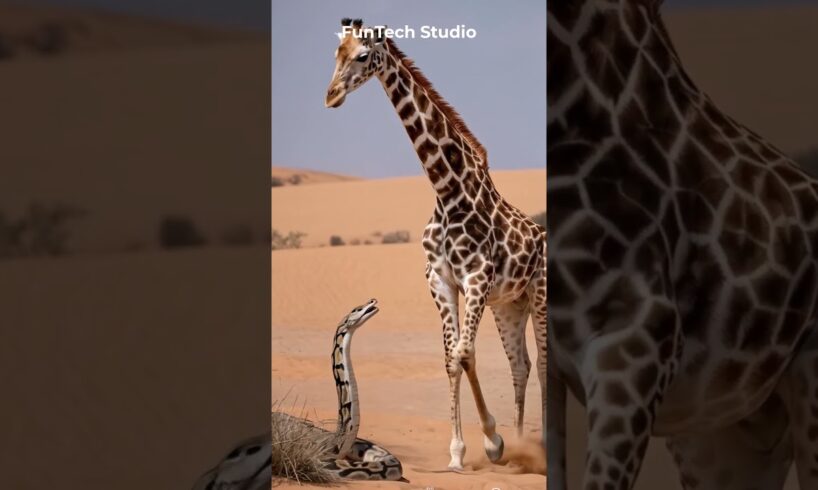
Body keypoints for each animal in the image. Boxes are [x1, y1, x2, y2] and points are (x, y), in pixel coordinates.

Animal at [325, 18, 547, 470]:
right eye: (336, 52)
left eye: (362, 55)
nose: (331, 95)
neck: (448, 191)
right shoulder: (440, 279)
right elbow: (451, 358)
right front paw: (460, 454)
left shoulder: (477, 277)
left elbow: (463, 353)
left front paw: (492, 440)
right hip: (508, 306)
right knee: (521, 365)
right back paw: (521, 449)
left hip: (539, 294)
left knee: (548, 362)